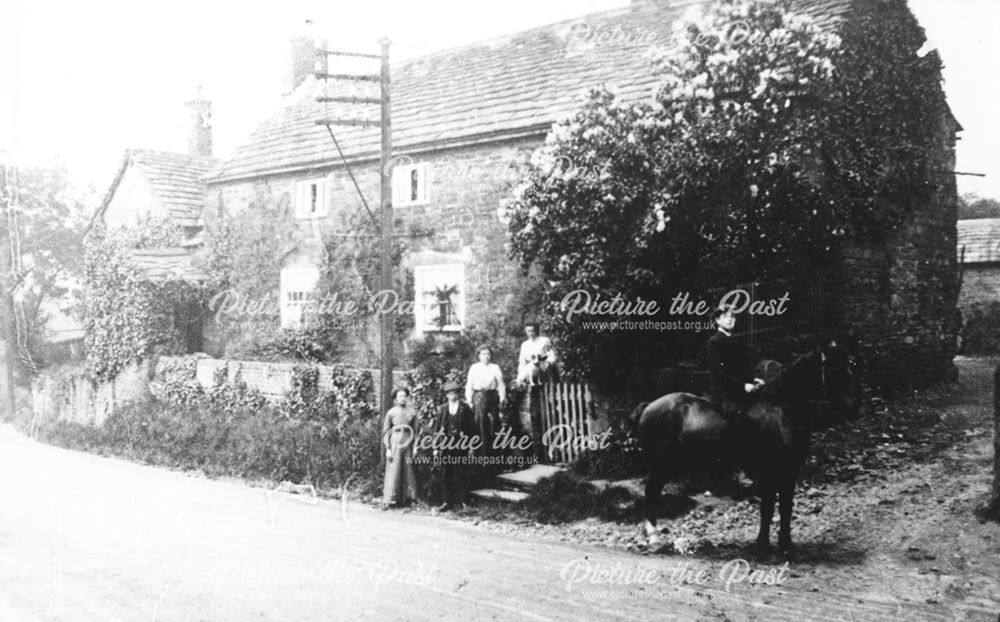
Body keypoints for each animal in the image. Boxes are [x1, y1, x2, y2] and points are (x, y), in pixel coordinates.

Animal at [636, 338, 864, 552]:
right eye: (832, 367)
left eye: (852, 364)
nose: (854, 406)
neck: (781, 410)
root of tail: (649, 405)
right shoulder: (771, 470)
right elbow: (768, 507)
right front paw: (763, 544)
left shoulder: (790, 470)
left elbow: (785, 507)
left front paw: (785, 544)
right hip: (661, 464)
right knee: (651, 493)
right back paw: (653, 538)